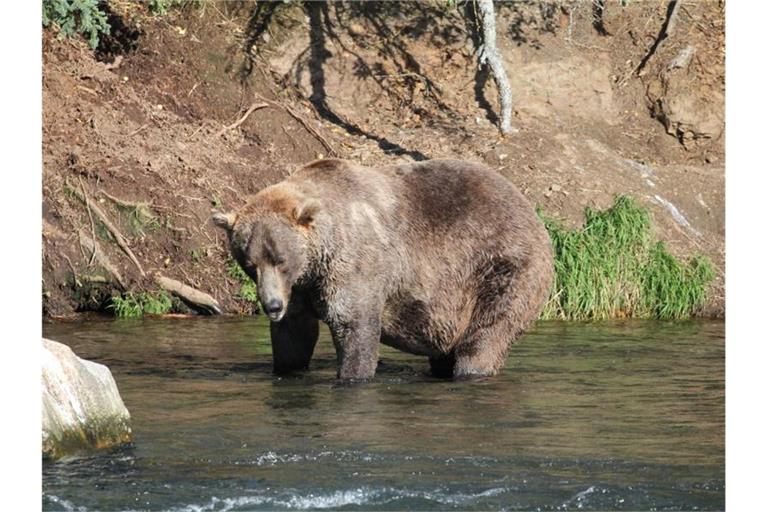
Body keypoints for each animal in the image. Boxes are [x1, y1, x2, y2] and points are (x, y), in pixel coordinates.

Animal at [213, 159, 556, 380]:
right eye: (250, 264)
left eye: (281, 259)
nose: (272, 305)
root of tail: (531, 209)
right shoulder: (301, 288)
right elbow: (295, 334)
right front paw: (287, 368)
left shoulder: (355, 264)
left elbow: (355, 325)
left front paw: (352, 375)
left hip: (501, 267)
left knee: (487, 333)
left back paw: (472, 369)